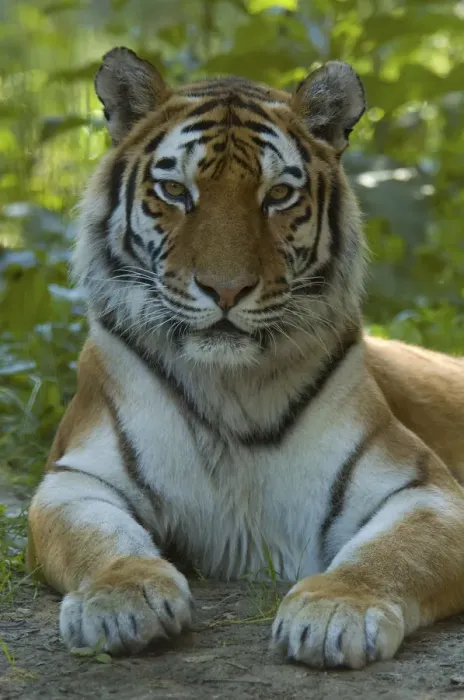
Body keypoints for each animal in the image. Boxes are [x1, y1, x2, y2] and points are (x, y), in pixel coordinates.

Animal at [27, 46, 464, 670]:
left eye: (278, 195)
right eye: (175, 191)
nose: (226, 289)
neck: (231, 385)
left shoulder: (423, 487)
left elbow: (389, 554)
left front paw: (337, 608)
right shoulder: (76, 479)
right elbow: (102, 541)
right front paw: (122, 597)